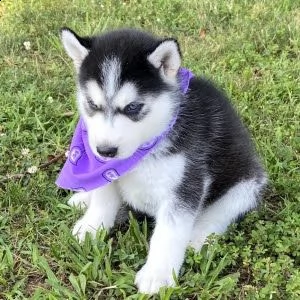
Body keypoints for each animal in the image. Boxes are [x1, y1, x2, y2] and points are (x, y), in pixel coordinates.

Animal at [59, 27, 268, 294]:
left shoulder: (186, 183)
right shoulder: (106, 172)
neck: (144, 149)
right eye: (92, 104)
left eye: (133, 107)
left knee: (220, 213)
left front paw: (157, 274)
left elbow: (169, 232)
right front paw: (91, 227)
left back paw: (197, 237)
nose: (105, 151)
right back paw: (84, 198)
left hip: (246, 184)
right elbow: (103, 201)